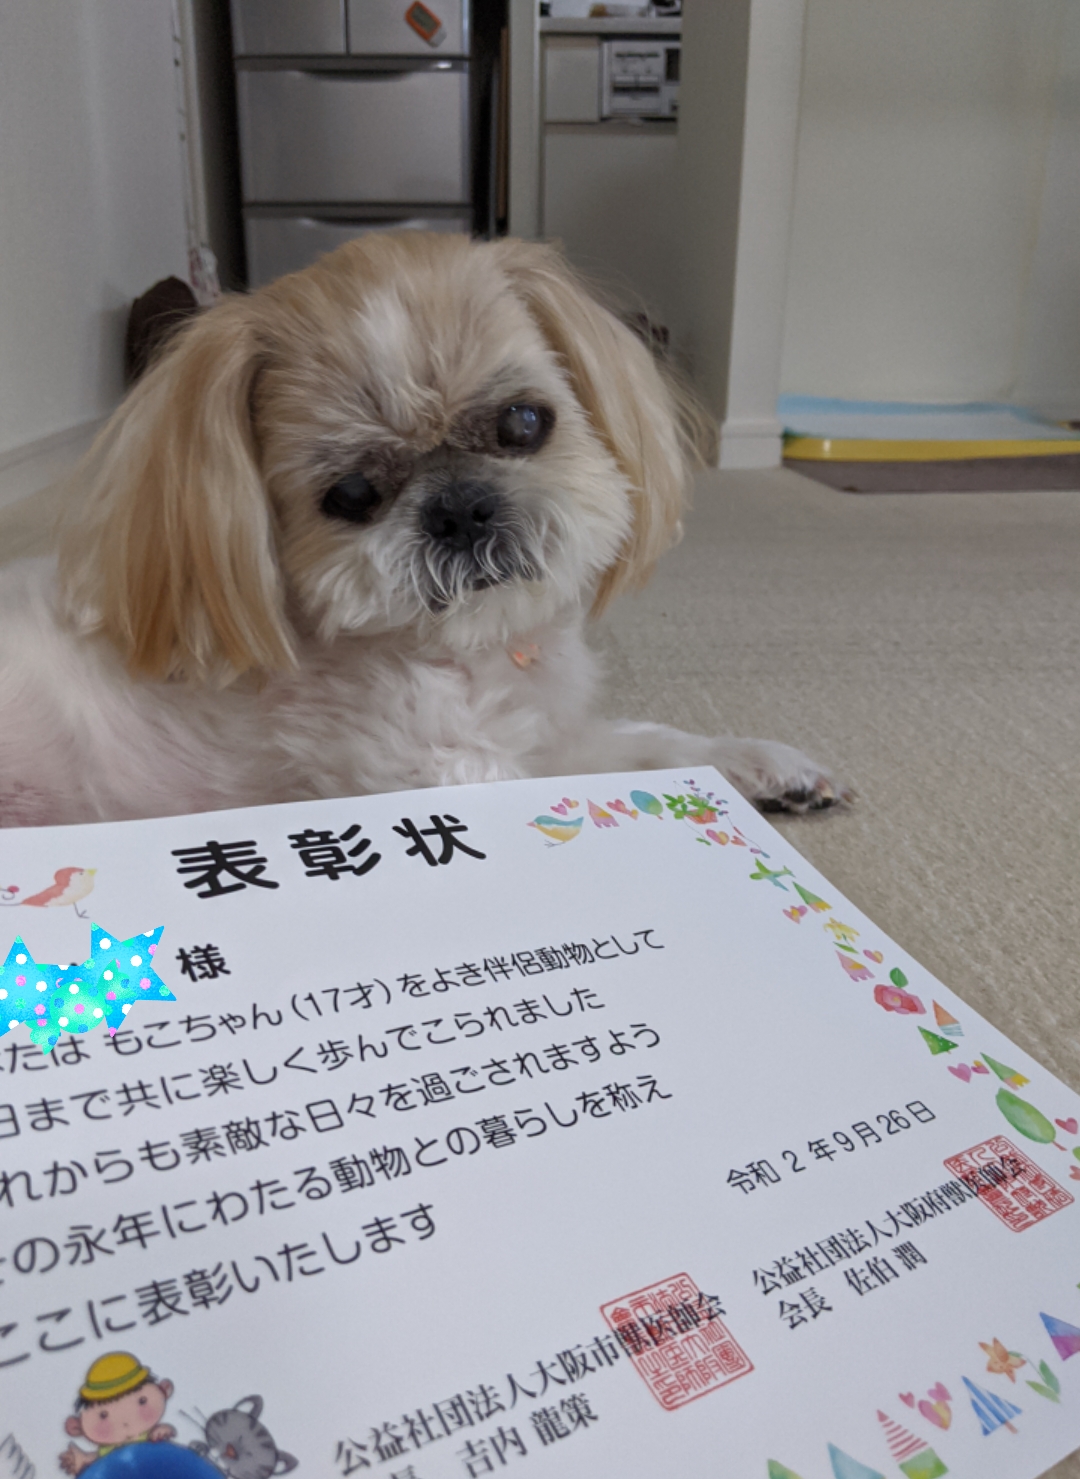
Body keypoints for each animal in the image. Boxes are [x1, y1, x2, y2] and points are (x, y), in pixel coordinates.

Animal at [0, 233, 845, 827]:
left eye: (524, 422)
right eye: (350, 494)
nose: (459, 507)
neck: (470, 657)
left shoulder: (547, 732)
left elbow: (651, 742)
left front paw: (756, 762)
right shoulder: (437, 771)